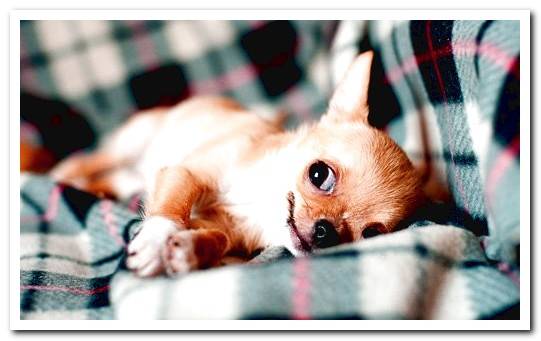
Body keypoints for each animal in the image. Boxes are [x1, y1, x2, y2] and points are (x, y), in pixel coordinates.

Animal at [51, 53, 422, 276]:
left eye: (370, 235)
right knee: (85, 160)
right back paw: (63, 175)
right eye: (319, 174)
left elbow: (217, 239)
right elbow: (172, 210)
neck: (259, 203)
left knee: (113, 179)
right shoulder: (187, 172)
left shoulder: (225, 231)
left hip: (129, 175)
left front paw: (189, 250)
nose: (325, 232)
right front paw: (156, 242)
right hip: (132, 142)